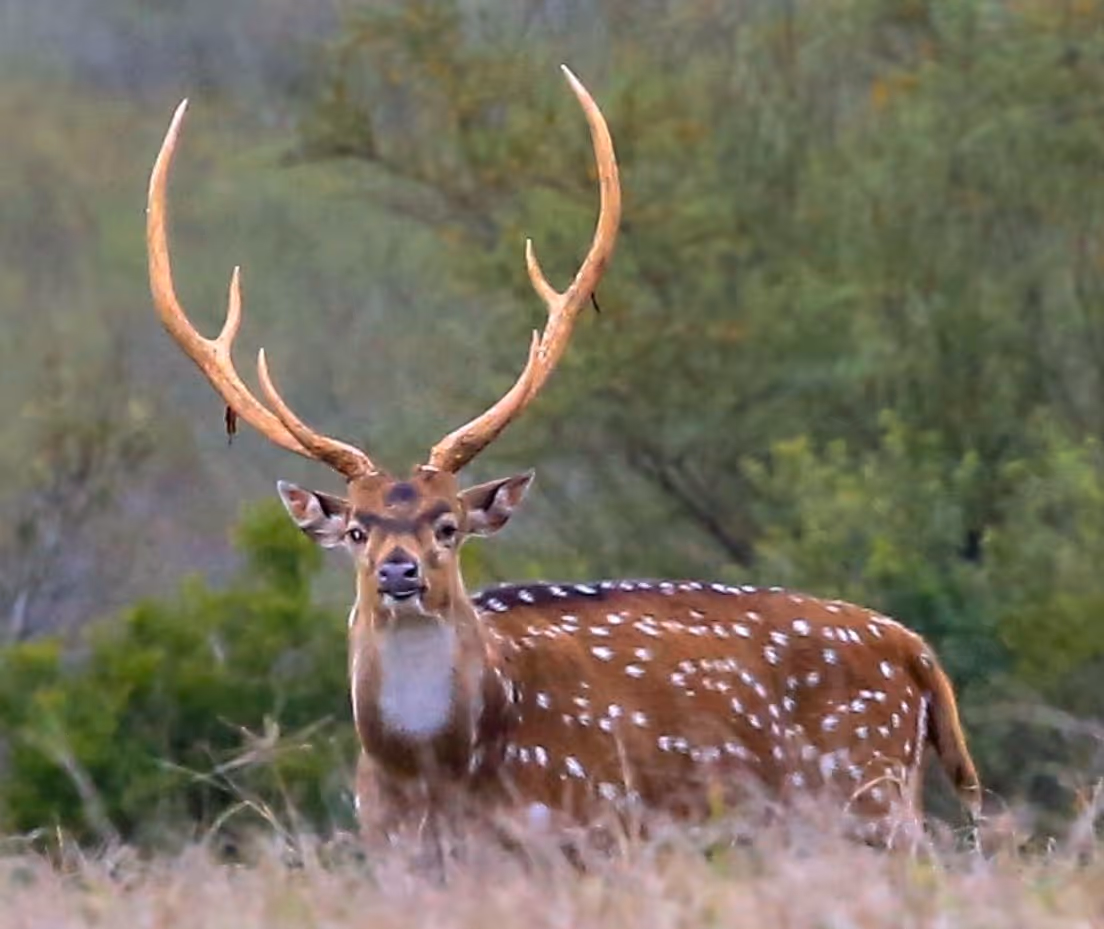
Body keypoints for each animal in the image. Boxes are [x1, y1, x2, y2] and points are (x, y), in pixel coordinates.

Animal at [146, 67, 981, 853]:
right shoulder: (389, 847)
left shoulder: (588, 823)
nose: (399, 570)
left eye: (449, 524)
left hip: (868, 790)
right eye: (356, 528)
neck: (435, 771)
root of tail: (917, 653)